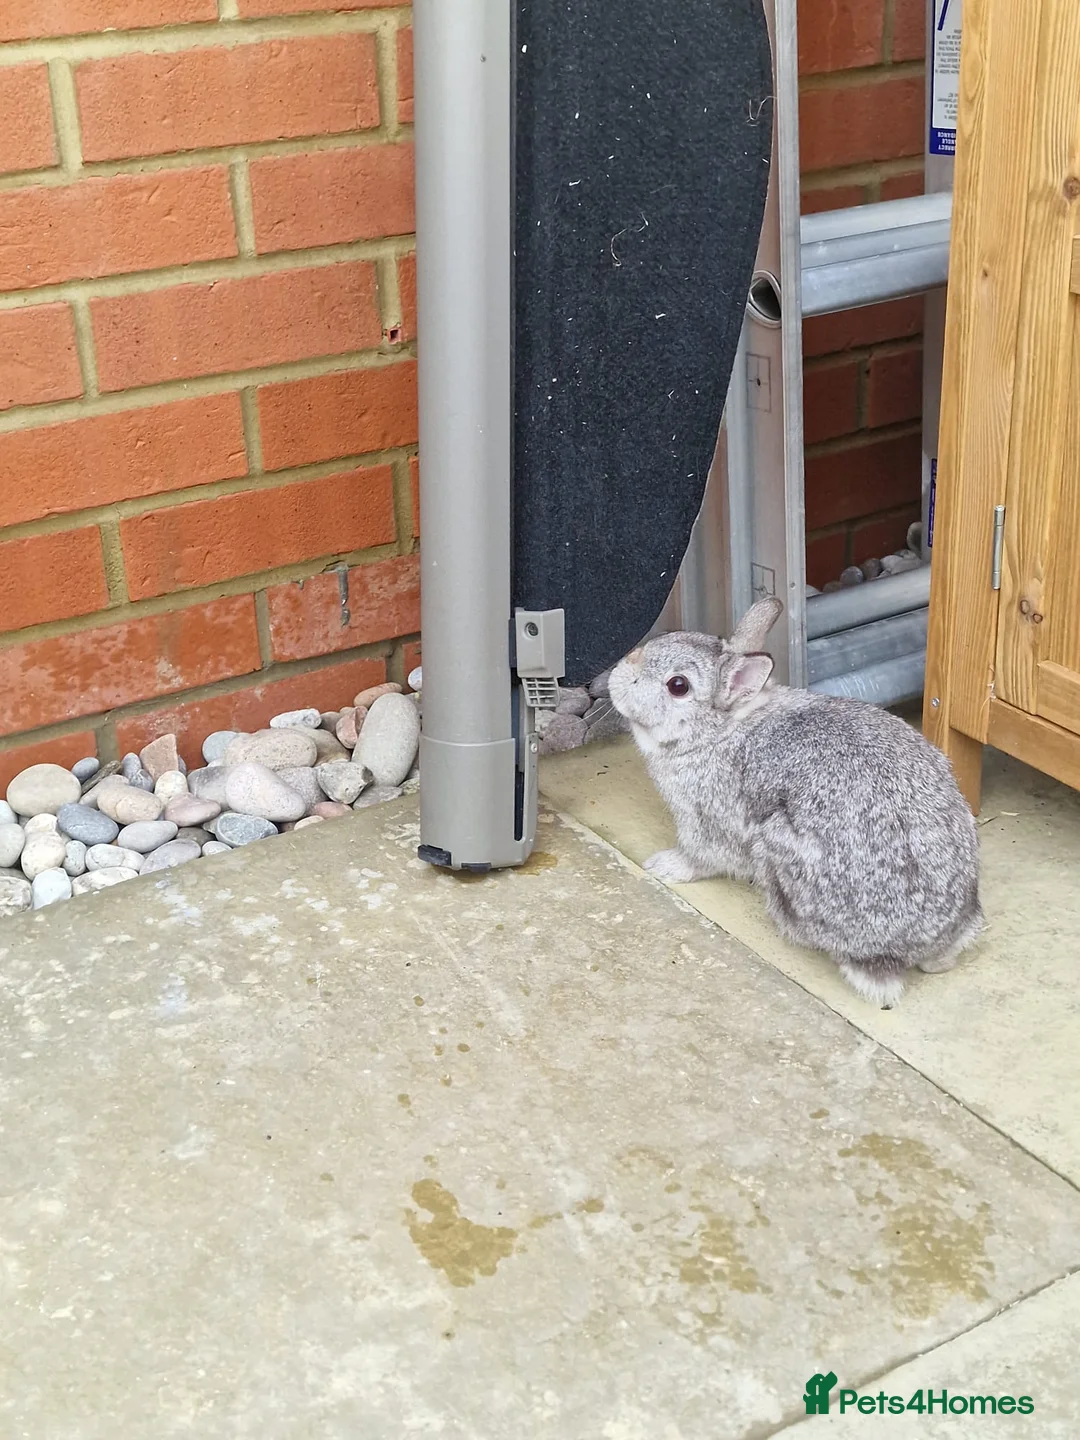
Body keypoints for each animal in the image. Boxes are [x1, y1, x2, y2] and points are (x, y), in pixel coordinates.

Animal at [608, 596, 983, 1006]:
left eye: (678, 685)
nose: (617, 675)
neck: (720, 729)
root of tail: (917, 943)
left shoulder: (707, 818)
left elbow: (702, 856)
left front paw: (664, 866)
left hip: (778, 846)